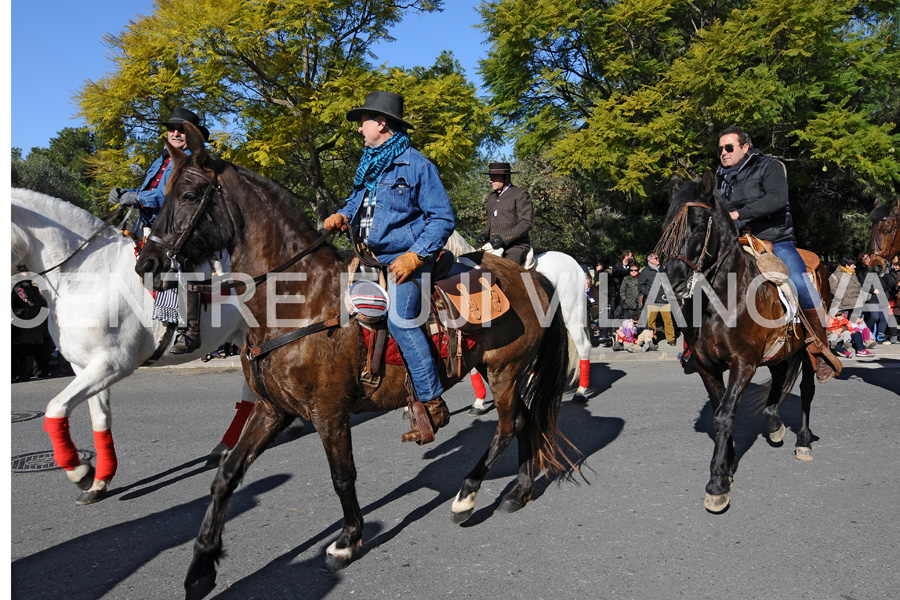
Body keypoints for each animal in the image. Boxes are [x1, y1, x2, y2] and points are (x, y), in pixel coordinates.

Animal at [10, 190, 251, 504]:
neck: (86, 276)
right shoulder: (84, 367)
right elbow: (99, 418)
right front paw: (99, 480)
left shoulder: (114, 363)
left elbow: (55, 409)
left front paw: (79, 471)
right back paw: (223, 447)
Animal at [134, 123, 568, 600]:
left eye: (190, 194)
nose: (147, 262)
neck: (300, 300)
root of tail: (532, 276)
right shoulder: (272, 409)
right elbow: (226, 475)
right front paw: (201, 567)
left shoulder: (329, 413)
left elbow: (342, 476)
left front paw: (347, 539)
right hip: (503, 373)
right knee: (525, 421)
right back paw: (518, 492)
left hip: (504, 371)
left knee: (508, 426)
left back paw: (467, 496)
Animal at [656, 173, 832, 516]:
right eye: (668, 226)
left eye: (698, 224)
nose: (674, 281)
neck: (722, 297)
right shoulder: (706, 366)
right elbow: (719, 410)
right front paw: (728, 464)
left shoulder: (744, 363)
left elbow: (725, 415)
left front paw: (717, 483)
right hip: (779, 350)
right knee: (778, 378)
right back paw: (774, 422)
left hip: (806, 350)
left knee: (806, 390)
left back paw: (803, 441)